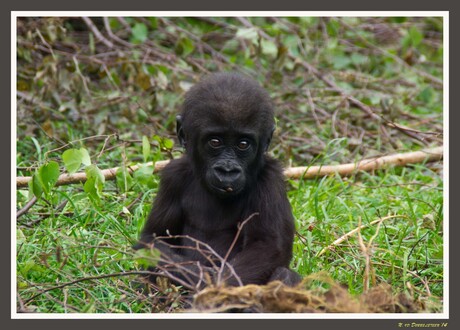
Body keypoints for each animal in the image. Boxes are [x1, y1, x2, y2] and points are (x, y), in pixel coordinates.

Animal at [136, 71, 302, 288]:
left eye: (243, 144)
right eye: (215, 142)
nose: (227, 170)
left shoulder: (270, 179)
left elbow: (268, 246)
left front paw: (215, 289)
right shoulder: (173, 177)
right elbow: (153, 239)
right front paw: (200, 278)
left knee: (284, 274)